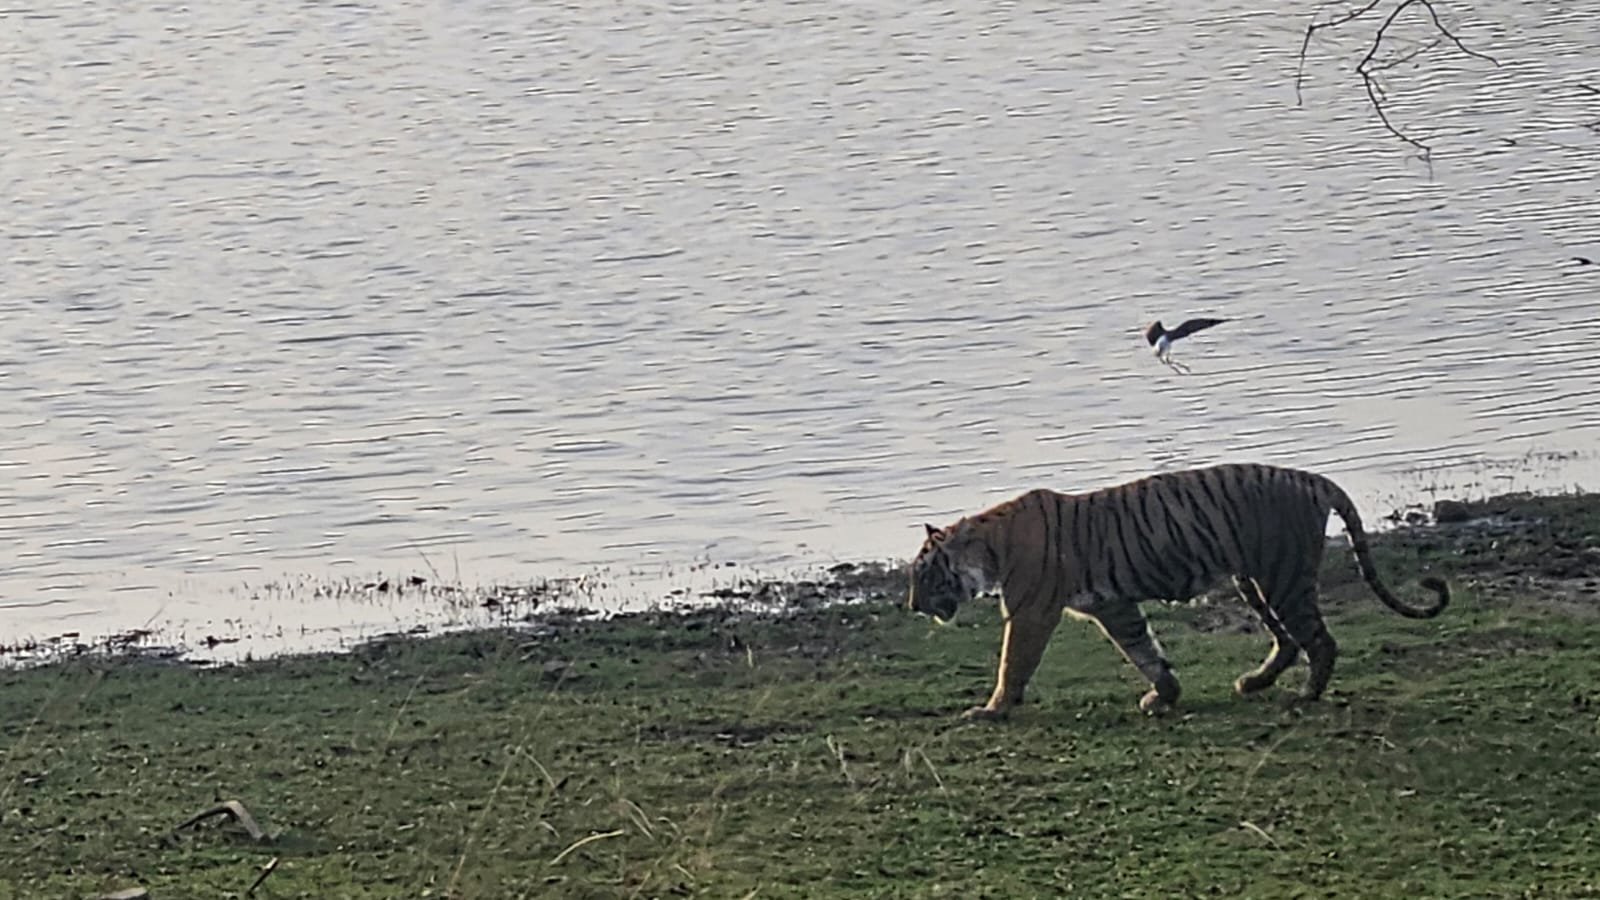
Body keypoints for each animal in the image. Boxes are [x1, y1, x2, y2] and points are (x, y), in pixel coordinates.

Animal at [907, 462, 1448, 719]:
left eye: (923, 575)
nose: (912, 607)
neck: (988, 546)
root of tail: (1314, 479)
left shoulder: (1031, 612)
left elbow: (1012, 663)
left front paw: (991, 710)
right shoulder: (1113, 605)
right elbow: (1143, 650)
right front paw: (1163, 695)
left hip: (1282, 576)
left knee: (1319, 640)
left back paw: (1304, 696)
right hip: (1254, 580)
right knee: (1289, 640)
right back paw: (1254, 683)